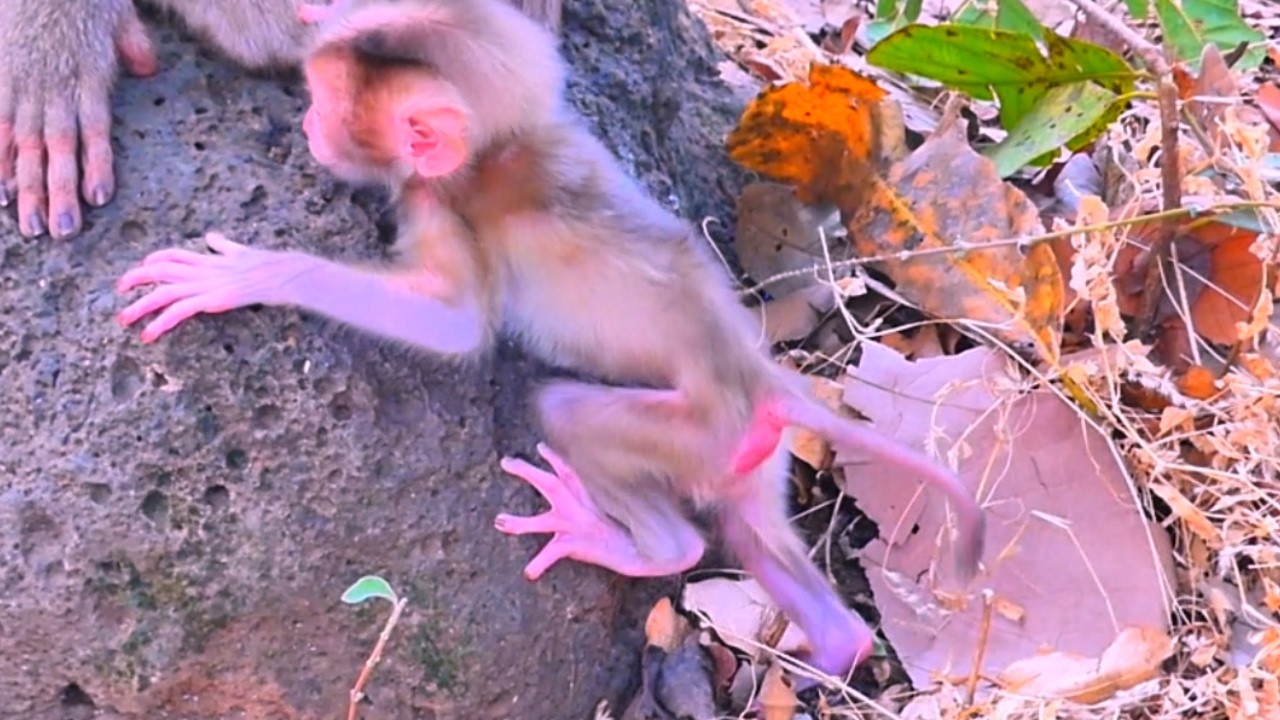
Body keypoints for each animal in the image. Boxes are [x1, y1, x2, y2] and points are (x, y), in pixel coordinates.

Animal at [114, 0, 985, 678]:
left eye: (327, 103)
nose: (305, 121)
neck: (490, 152)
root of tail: (762, 382)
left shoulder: (439, 206)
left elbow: (455, 324)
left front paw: (253, 275)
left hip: (697, 431)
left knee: (576, 421)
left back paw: (641, 546)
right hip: (749, 459)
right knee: (758, 535)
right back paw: (835, 648)